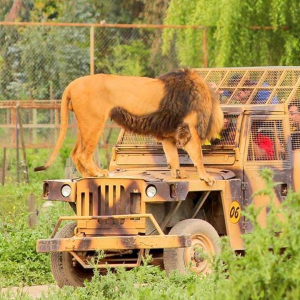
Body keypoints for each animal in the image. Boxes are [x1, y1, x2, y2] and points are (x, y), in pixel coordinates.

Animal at [34, 68, 223, 185]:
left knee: (74, 153)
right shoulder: (189, 129)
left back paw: (87, 175)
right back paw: (98, 173)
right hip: (94, 122)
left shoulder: (168, 133)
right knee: (83, 154)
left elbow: (173, 157)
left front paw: (177, 174)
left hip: (84, 124)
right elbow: (198, 156)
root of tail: (73, 84)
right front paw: (206, 177)